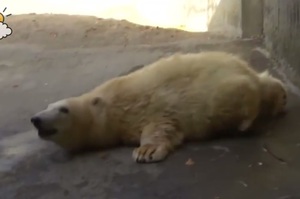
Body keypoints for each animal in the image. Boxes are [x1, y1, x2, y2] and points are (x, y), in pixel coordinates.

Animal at [31, 51, 288, 163]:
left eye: (63, 109)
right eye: (46, 106)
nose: (36, 119)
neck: (106, 104)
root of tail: (244, 68)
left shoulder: (141, 108)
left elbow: (159, 126)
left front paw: (146, 152)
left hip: (218, 88)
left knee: (235, 95)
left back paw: (246, 121)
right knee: (265, 82)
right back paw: (279, 98)